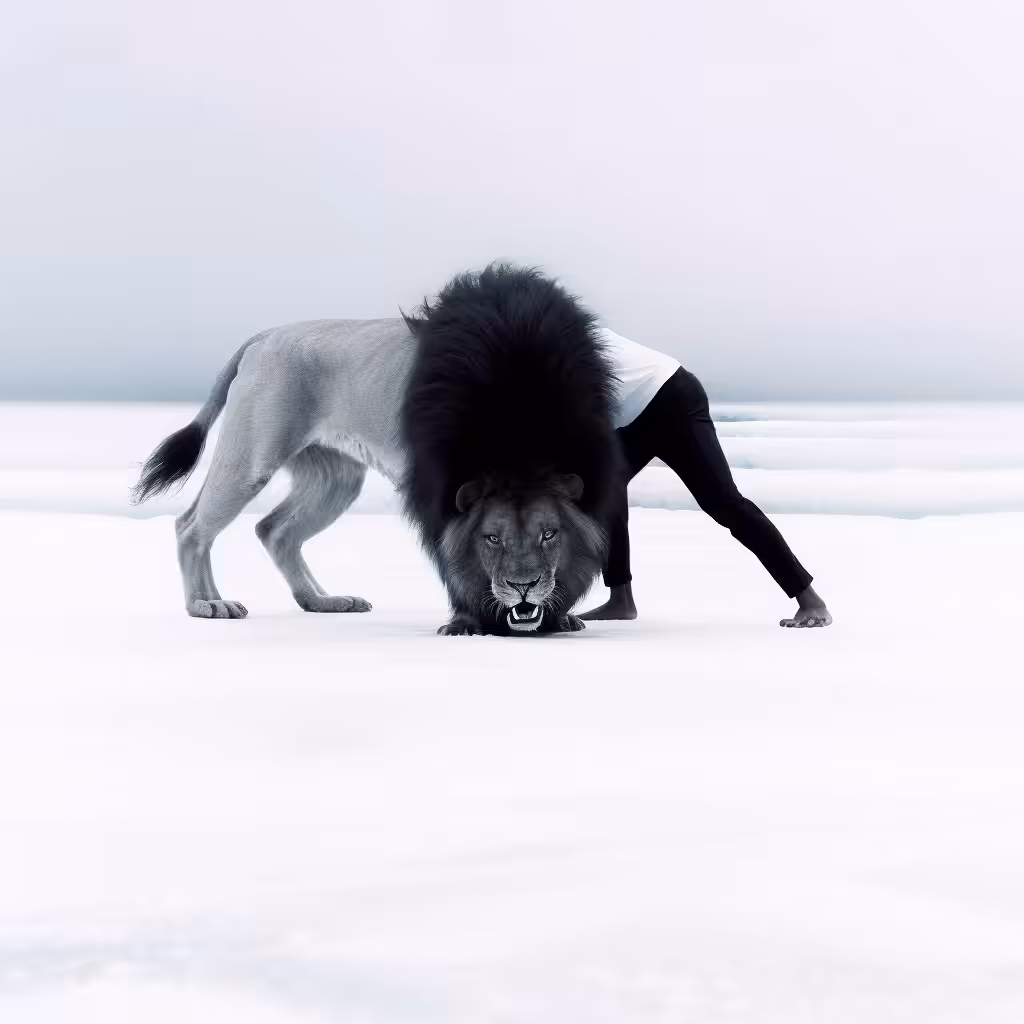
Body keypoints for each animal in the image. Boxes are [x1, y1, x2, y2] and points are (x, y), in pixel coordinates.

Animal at [132, 265, 623, 635]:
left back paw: (322, 601)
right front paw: (474, 622)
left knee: (274, 530)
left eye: (549, 534)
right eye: (492, 537)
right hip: (252, 457)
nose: (524, 586)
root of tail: (266, 335)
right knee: (190, 527)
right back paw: (206, 605)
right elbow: (455, 562)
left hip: (337, 479)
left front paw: (556, 617)